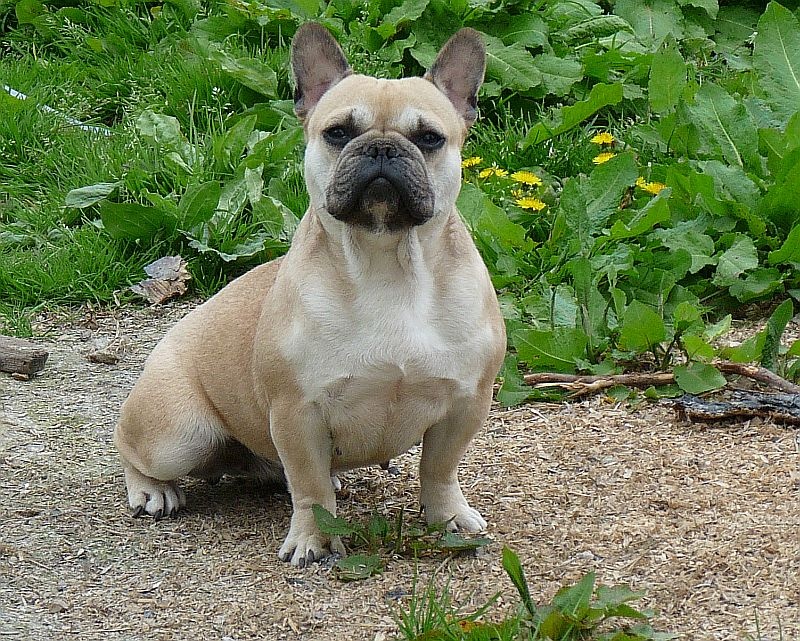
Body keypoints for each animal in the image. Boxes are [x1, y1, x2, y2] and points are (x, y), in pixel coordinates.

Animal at [114, 22, 506, 567]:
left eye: (429, 138)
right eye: (338, 132)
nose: (381, 149)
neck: (387, 263)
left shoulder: (465, 403)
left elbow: (440, 469)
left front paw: (447, 517)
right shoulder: (297, 411)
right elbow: (310, 486)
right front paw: (313, 539)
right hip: (178, 434)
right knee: (130, 444)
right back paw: (151, 490)